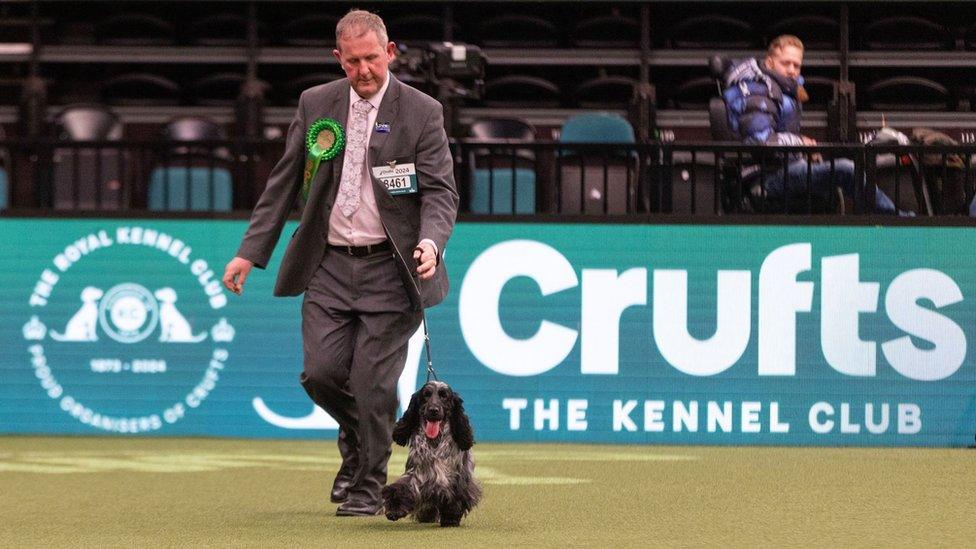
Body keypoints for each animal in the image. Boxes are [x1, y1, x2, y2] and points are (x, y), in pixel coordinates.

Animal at [386, 378, 484, 524]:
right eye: (426, 395)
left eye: (444, 396)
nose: (433, 410)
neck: (434, 442)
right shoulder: (417, 473)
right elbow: (402, 487)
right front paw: (394, 509)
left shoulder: (456, 478)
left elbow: (455, 498)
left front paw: (451, 519)